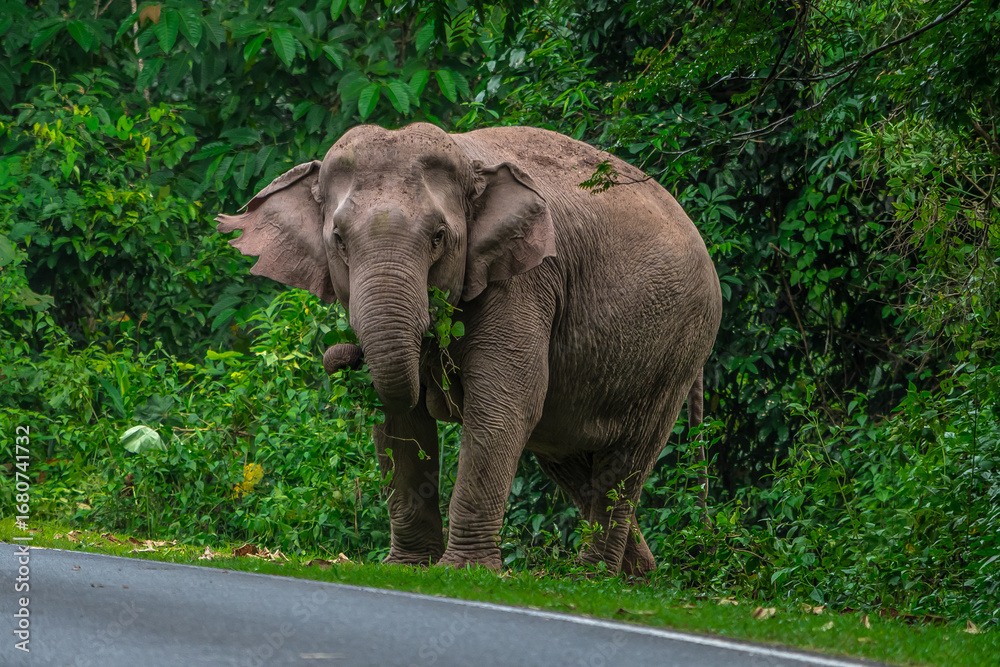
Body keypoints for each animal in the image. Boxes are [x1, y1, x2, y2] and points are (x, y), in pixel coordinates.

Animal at [217, 123, 722, 575]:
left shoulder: (525, 281)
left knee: (625, 461)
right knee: (571, 462)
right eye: (338, 240)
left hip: (676, 351)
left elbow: (504, 406)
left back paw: (593, 576)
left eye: (439, 237)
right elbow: (400, 420)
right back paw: (635, 574)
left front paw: (464, 570)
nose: (342, 355)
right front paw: (409, 566)